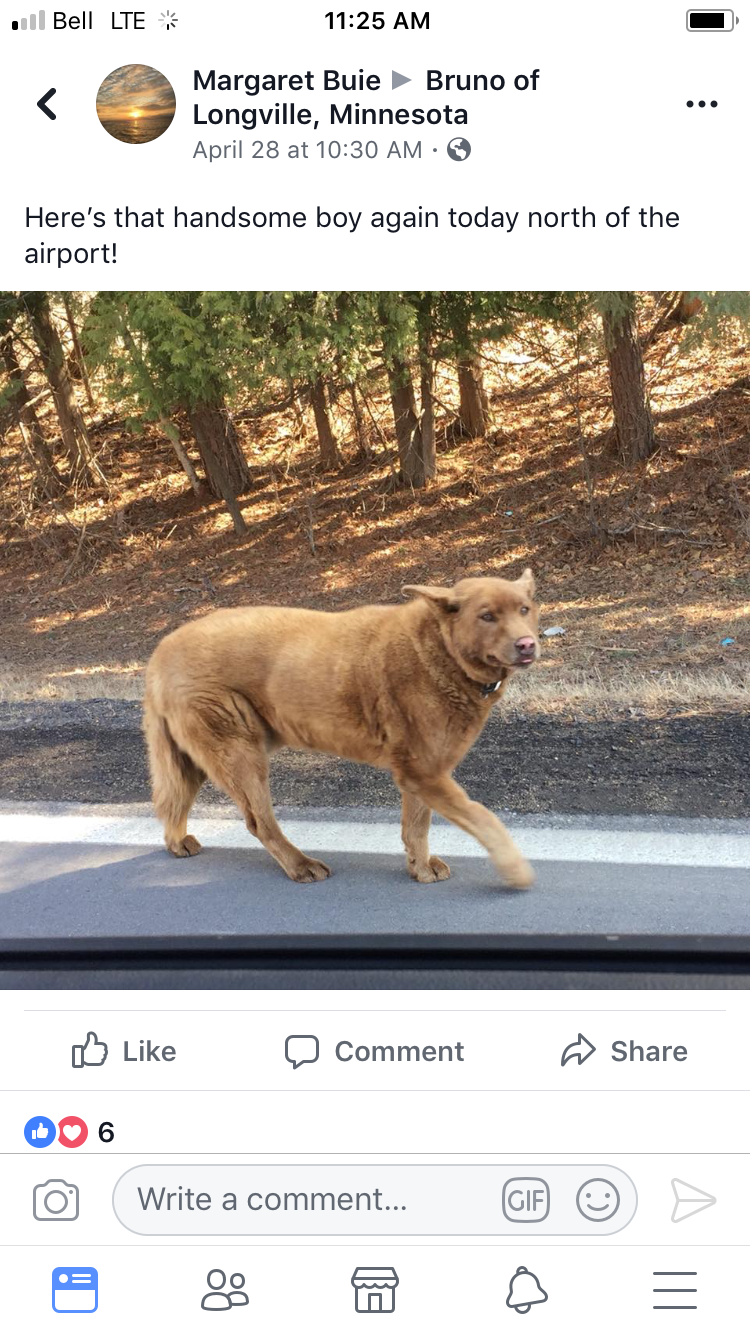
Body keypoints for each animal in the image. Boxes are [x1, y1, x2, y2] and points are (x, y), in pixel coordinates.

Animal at [143, 570, 540, 887]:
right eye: (487, 616)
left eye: (524, 609)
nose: (527, 644)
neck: (440, 652)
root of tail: (158, 654)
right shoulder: (423, 770)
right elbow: (484, 818)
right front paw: (515, 870)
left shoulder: (421, 771)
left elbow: (417, 825)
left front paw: (422, 868)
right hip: (238, 750)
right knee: (259, 821)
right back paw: (301, 865)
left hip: (194, 758)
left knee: (174, 799)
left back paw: (177, 843)